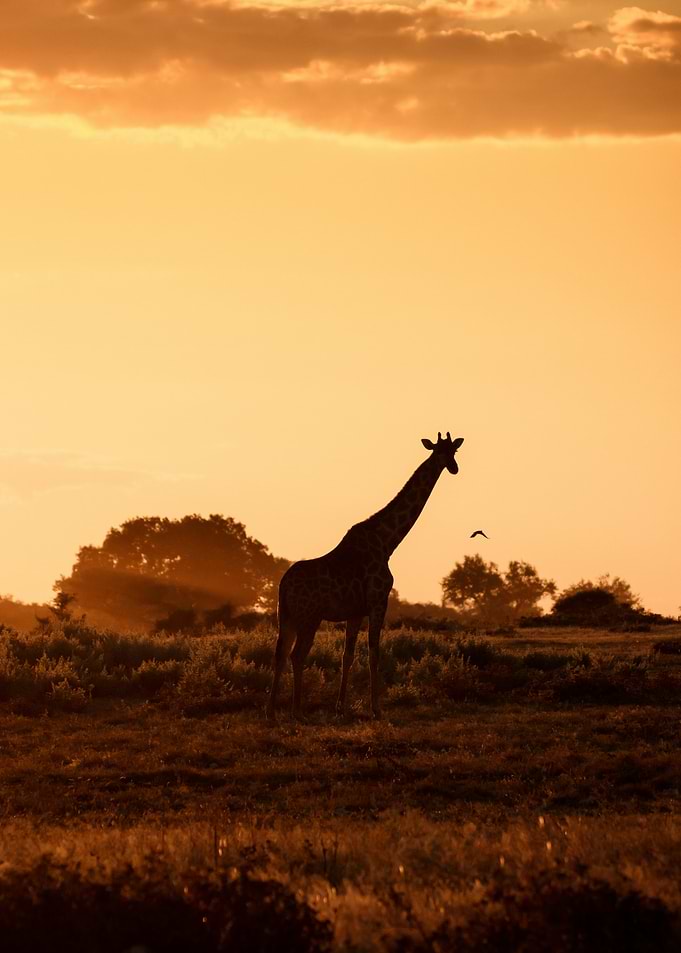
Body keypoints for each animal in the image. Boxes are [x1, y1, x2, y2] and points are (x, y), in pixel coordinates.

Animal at [266, 432, 464, 720]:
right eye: (439, 451)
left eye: (454, 451)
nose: (453, 467)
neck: (387, 542)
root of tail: (283, 585)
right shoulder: (378, 601)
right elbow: (374, 654)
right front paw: (376, 708)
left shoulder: (355, 611)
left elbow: (347, 655)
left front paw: (341, 707)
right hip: (309, 616)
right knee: (297, 655)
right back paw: (296, 711)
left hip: (287, 615)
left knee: (280, 653)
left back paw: (271, 711)